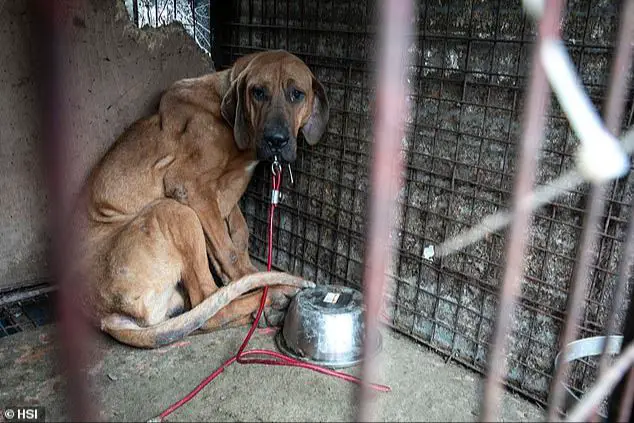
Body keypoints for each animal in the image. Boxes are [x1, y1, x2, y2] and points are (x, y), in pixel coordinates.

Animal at [73, 50, 328, 348]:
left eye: (297, 94)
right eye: (258, 92)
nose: (276, 140)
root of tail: (104, 317)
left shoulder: (224, 195)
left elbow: (238, 234)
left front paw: (247, 271)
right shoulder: (189, 186)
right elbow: (229, 251)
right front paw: (256, 279)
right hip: (173, 211)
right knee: (208, 303)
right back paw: (275, 293)